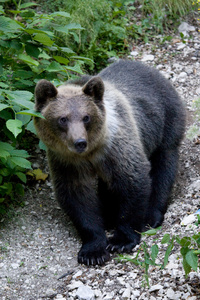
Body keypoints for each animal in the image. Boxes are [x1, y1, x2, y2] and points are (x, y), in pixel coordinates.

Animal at [34, 60, 186, 264]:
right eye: (62, 119)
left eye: (86, 117)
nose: (79, 142)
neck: (91, 152)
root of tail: (154, 72)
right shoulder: (67, 161)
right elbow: (77, 197)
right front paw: (93, 251)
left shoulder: (117, 147)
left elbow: (133, 181)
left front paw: (121, 240)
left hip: (166, 122)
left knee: (164, 167)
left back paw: (151, 216)